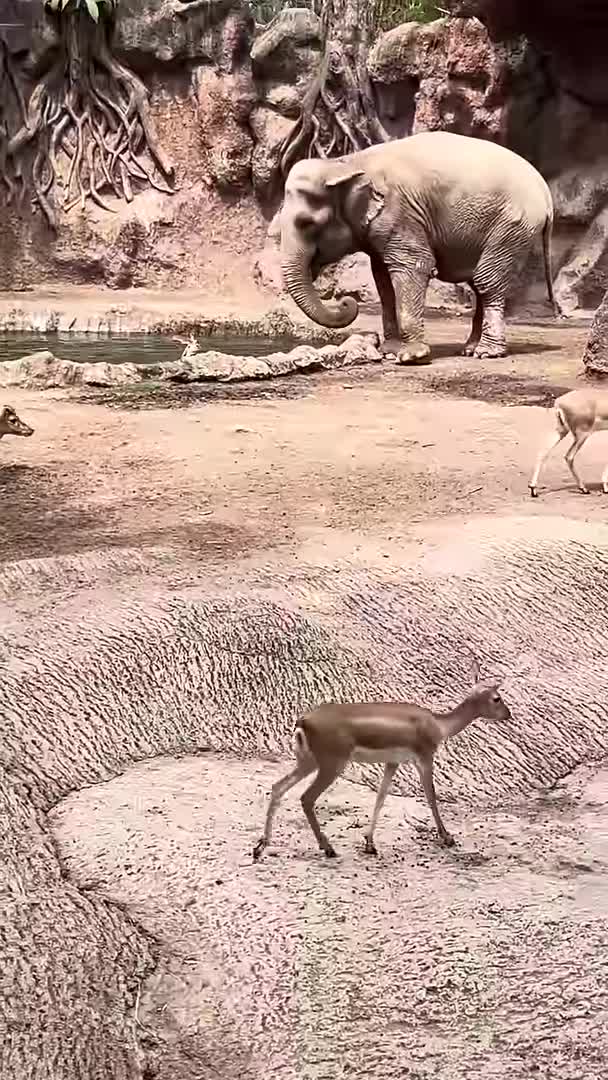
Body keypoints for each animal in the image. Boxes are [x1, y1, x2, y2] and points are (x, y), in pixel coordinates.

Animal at [252, 658, 511, 861]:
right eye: (497, 698)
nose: (508, 715)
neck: (439, 725)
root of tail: (303, 721)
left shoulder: (392, 763)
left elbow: (380, 797)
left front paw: (370, 844)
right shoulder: (424, 758)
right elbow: (431, 797)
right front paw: (447, 838)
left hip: (308, 762)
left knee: (278, 787)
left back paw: (260, 847)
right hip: (331, 764)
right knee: (306, 798)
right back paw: (328, 848)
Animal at [280, 131, 559, 363]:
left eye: (306, 223)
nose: (346, 301)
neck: (346, 163)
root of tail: (545, 193)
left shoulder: (400, 213)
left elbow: (413, 267)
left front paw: (410, 357)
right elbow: (383, 280)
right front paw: (389, 352)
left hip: (513, 224)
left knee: (486, 280)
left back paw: (486, 353)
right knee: (480, 282)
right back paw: (470, 349)